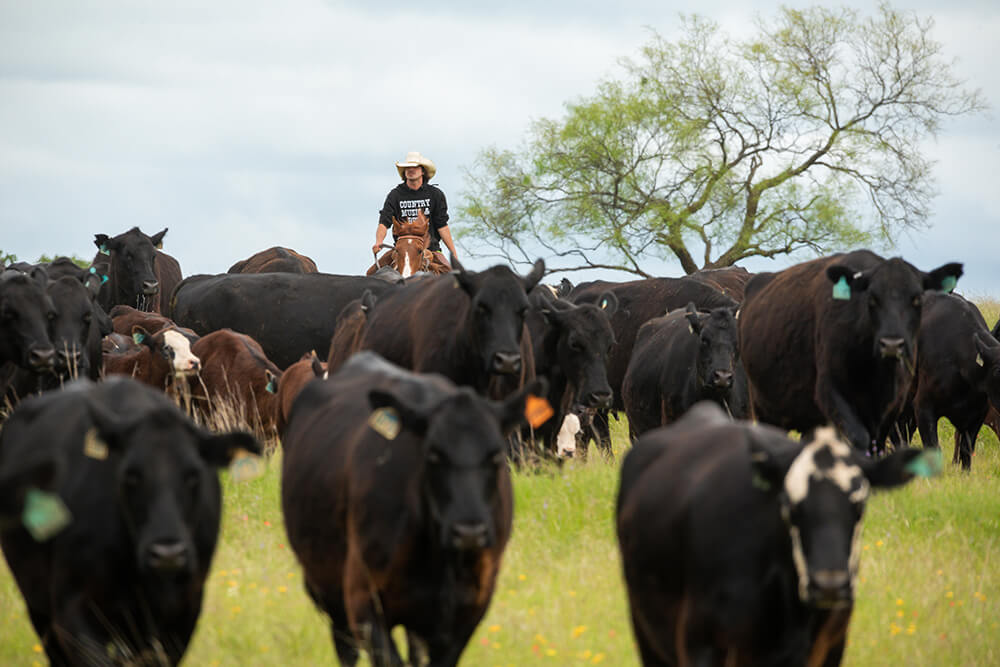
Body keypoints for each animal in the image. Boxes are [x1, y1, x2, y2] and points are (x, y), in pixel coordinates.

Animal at [0, 378, 262, 664]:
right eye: (131, 474)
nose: (167, 554)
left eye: (194, 474)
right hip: (38, 605)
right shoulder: (71, 607)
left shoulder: (186, 609)